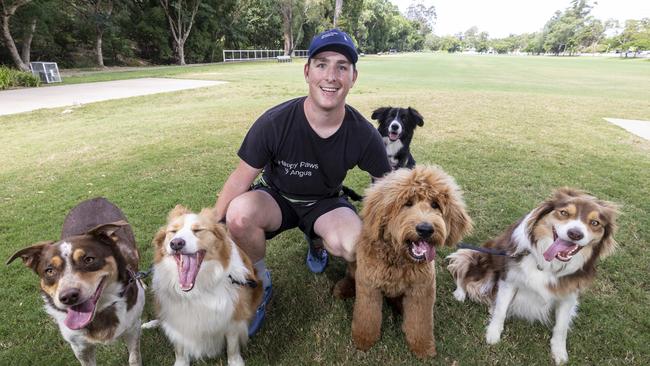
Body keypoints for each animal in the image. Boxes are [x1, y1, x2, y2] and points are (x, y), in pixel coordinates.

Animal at [6, 197, 144, 366]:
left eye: (89, 259)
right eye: (49, 271)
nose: (68, 297)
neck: (101, 312)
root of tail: (95, 198)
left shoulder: (133, 328)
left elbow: (134, 357)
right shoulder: (80, 347)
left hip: (131, 250)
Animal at [151, 206, 262, 366]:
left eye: (197, 230)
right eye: (173, 231)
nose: (176, 243)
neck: (195, 291)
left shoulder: (232, 317)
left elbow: (232, 347)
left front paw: (235, 362)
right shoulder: (177, 319)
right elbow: (179, 348)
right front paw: (181, 362)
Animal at [352, 167, 468, 358]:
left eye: (435, 204)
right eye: (407, 203)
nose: (425, 229)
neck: (398, 258)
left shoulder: (421, 291)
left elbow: (420, 323)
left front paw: (422, 347)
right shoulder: (368, 287)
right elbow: (367, 316)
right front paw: (363, 340)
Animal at [446, 187, 616, 364]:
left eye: (595, 223)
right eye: (564, 213)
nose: (575, 234)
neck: (548, 264)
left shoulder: (569, 294)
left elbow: (561, 327)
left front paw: (559, 352)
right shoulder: (509, 279)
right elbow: (501, 310)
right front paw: (493, 334)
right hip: (483, 264)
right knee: (464, 274)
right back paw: (460, 293)